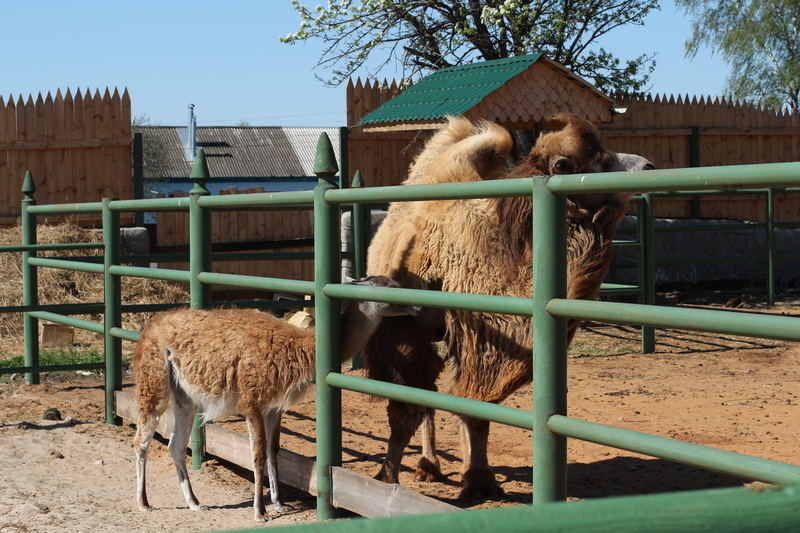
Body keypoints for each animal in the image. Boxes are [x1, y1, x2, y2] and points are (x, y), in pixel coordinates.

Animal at [133, 274, 418, 520]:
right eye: (390, 287)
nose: (416, 306)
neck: (300, 346)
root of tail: (153, 322)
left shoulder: (274, 407)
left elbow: (273, 452)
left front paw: (280, 504)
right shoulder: (252, 401)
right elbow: (257, 455)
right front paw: (260, 511)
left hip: (184, 396)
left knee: (175, 445)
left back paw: (193, 502)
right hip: (154, 382)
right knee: (141, 440)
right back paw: (143, 502)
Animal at [362, 112, 656, 494]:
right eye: (602, 160)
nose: (649, 164)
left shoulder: (485, 339)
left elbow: (475, 407)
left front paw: (479, 478)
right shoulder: (407, 327)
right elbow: (407, 405)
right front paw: (385, 477)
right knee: (424, 392)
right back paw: (427, 464)